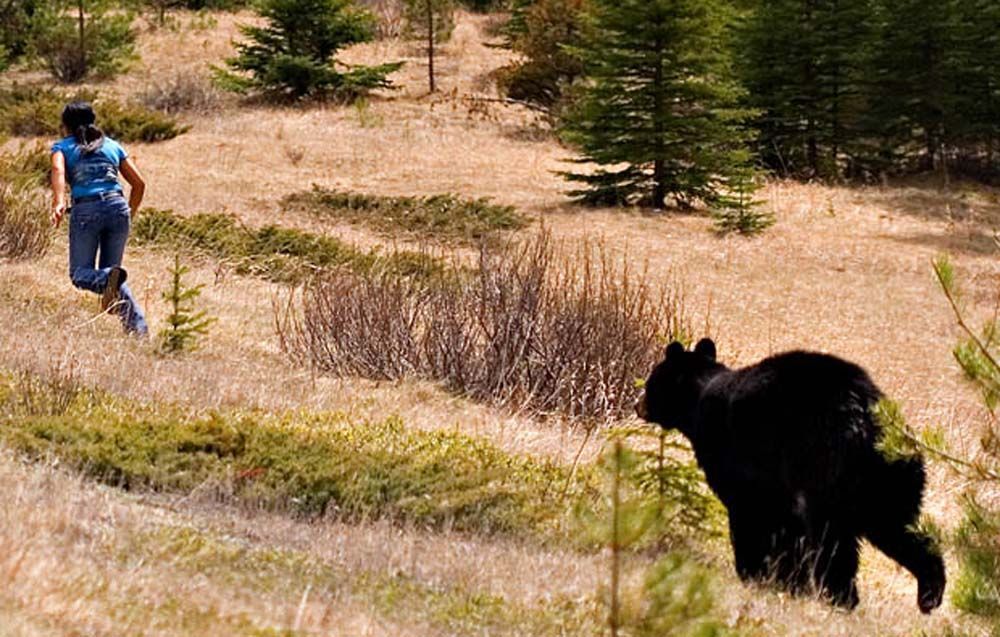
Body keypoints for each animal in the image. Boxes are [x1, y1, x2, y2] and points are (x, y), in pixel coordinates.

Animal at [636, 338, 946, 613]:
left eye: (651, 382)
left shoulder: (742, 464)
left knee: (832, 538)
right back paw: (930, 594)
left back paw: (840, 597)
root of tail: (868, 421)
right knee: (899, 528)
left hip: (828, 471)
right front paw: (788, 582)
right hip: (890, 478)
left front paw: (757, 575)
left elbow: (752, 517)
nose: (638, 405)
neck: (698, 400)